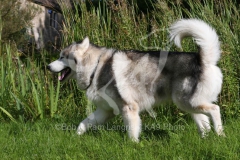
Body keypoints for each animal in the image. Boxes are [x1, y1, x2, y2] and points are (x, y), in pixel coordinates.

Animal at [47, 18, 225, 141]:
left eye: (62, 57)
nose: (48, 67)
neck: (95, 68)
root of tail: (203, 59)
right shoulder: (105, 111)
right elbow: (83, 123)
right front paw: (76, 136)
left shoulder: (129, 107)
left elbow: (132, 132)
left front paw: (132, 145)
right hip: (189, 105)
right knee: (204, 123)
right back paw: (205, 139)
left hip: (188, 102)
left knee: (215, 110)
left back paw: (220, 134)